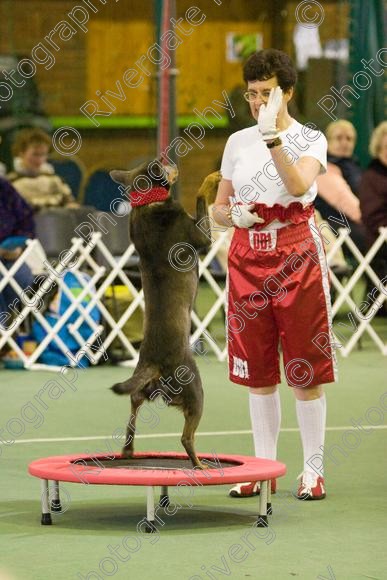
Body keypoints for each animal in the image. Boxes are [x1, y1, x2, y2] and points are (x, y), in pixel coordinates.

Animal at [109, 159, 212, 466]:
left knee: (132, 413)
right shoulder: (202, 237)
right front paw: (212, 179)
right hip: (195, 390)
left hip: (139, 391)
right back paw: (199, 464)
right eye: (165, 166)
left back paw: (128, 450)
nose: (174, 163)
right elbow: (201, 197)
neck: (147, 203)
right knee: (186, 437)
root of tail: (153, 364)